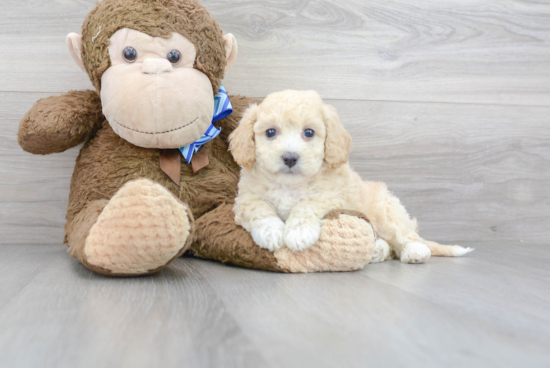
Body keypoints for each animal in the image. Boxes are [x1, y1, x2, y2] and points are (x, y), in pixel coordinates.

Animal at [230, 90, 474, 264]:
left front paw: (298, 233)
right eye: (270, 132)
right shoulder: (246, 199)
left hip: (387, 213)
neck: (291, 185)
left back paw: (415, 251)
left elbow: (307, 204)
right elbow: (260, 208)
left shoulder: (333, 197)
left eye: (309, 132)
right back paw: (377, 250)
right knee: (389, 247)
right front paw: (270, 232)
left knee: (405, 237)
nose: (290, 158)